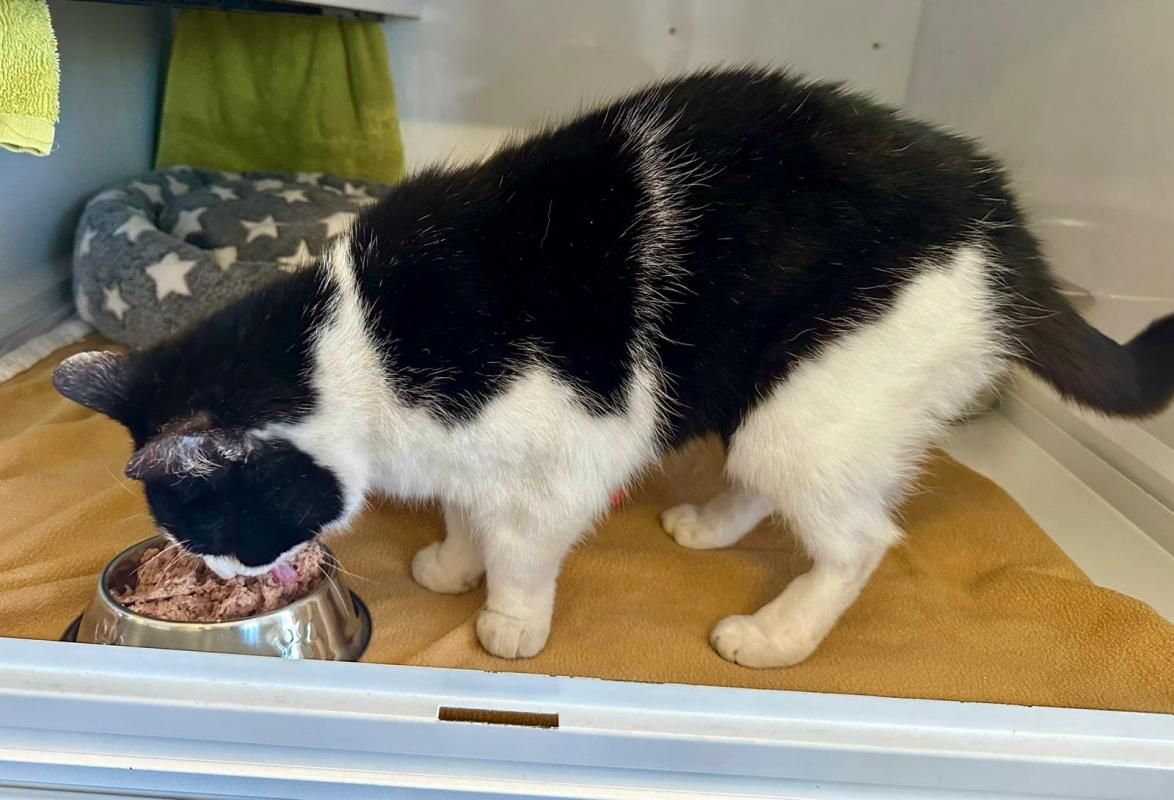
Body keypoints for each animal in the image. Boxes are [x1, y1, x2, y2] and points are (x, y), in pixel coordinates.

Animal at [54, 67, 1174, 667]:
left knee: (858, 539)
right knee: (768, 481)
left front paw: (507, 613)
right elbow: (468, 503)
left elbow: (524, 539)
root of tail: (997, 211)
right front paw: (454, 557)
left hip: (814, 401)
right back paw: (709, 522)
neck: (355, 343)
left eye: (219, 529)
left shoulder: (569, 446)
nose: (229, 575)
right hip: (776, 398)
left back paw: (777, 633)